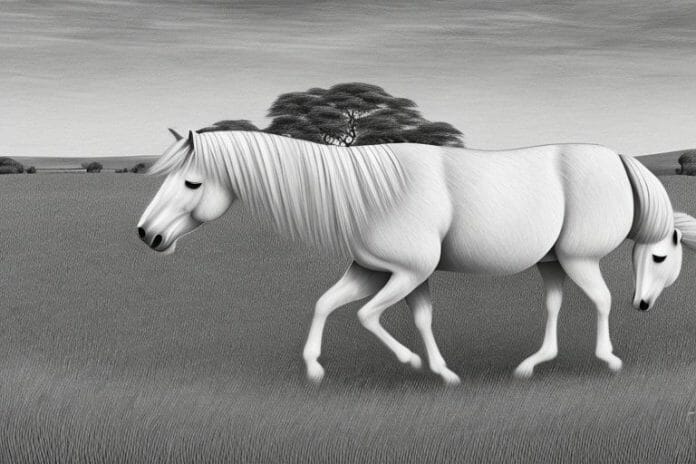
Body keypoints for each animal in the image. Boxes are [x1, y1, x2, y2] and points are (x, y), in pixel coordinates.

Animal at [137, 128, 685, 385]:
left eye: (191, 183)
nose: (147, 235)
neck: (372, 193)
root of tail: (616, 158)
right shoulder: (375, 271)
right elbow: (335, 305)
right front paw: (316, 370)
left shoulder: (406, 272)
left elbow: (366, 316)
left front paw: (413, 363)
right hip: (552, 262)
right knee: (556, 304)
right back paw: (532, 364)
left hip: (578, 259)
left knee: (601, 301)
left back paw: (607, 360)